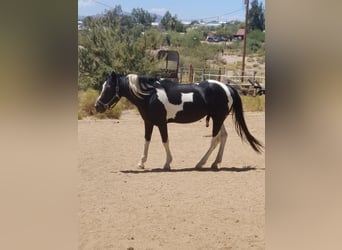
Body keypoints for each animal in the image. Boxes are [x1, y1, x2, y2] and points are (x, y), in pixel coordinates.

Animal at [95, 71, 264, 171]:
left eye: (108, 87)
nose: (98, 106)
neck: (150, 95)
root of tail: (227, 87)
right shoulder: (148, 123)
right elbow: (146, 141)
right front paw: (141, 163)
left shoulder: (161, 123)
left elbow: (165, 141)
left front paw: (167, 163)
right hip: (219, 119)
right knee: (223, 137)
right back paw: (215, 163)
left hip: (217, 119)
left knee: (214, 140)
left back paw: (201, 163)